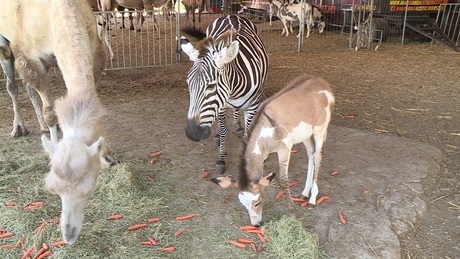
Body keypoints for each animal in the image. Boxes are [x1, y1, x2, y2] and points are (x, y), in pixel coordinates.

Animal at [179, 15, 268, 176]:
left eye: (211, 86)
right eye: (188, 84)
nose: (191, 133)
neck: (234, 89)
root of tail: (231, 15)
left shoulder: (253, 106)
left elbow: (248, 132)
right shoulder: (220, 105)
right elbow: (223, 130)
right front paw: (221, 158)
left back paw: (237, 126)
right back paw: (217, 135)